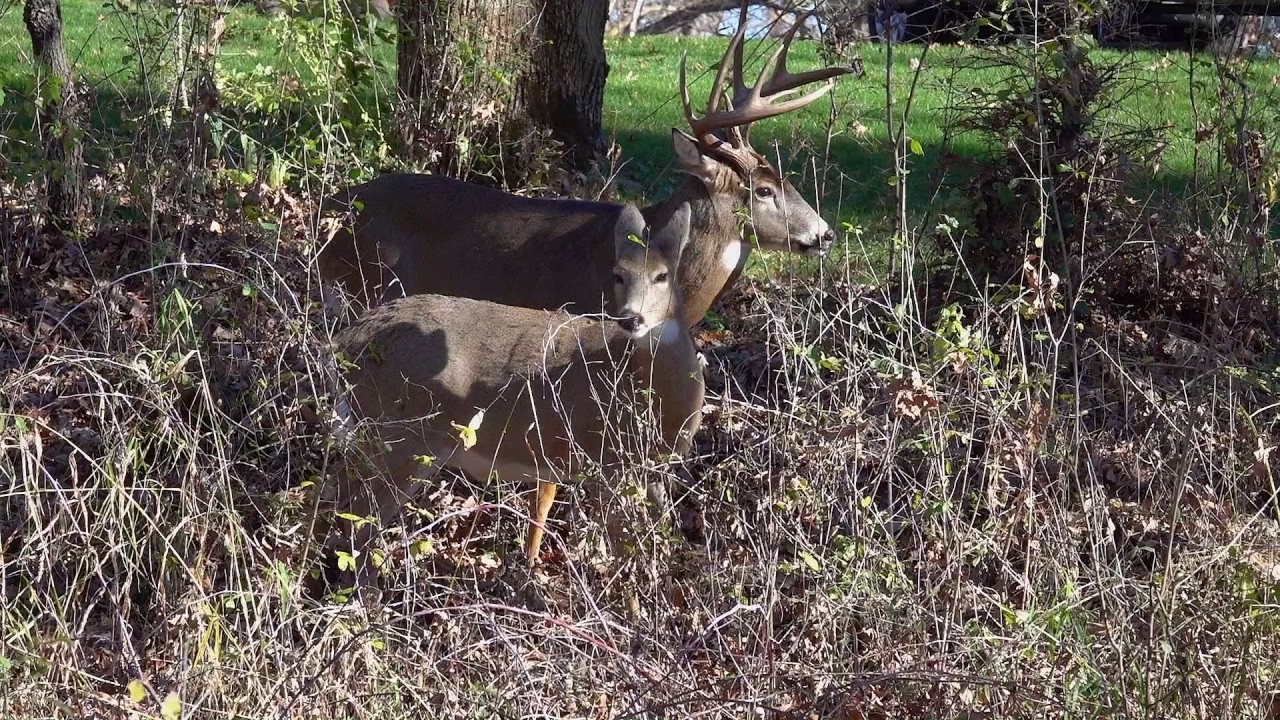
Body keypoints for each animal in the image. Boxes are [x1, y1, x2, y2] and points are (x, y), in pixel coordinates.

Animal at [320, 203, 701, 576]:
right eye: (619, 274)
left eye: (662, 276)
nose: (630, 318)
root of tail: (345, 342)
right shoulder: (606, 459)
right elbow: (625, 545)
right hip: (401, 437)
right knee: (358, 518)